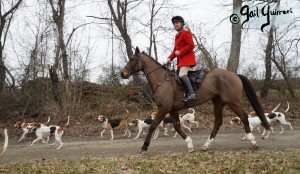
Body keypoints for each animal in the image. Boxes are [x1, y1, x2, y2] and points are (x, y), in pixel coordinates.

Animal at [120, 47, 270, 154]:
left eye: (132, 59)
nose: (122, 73)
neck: (162, 80)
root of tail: (235, 74)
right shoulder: (172, 110)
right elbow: (178, 127)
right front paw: (190, 144)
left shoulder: (164, 108)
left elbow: (153, 126)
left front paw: (144, 147)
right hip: (218, 102)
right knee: (218, 122)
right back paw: (206, 145)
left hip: (232, 102)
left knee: (243, 117)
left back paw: (252, 141)